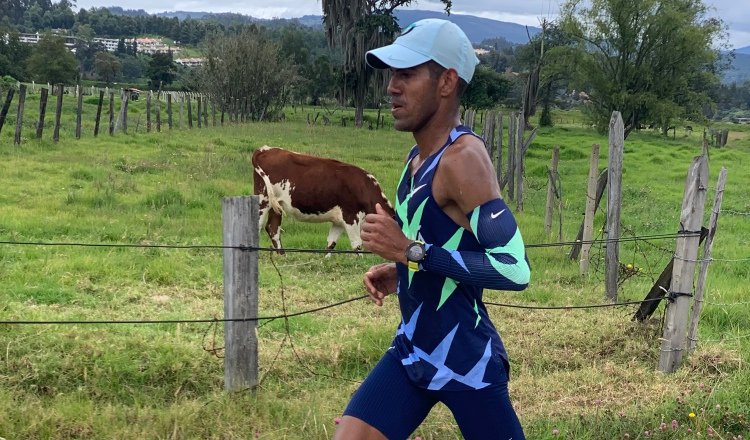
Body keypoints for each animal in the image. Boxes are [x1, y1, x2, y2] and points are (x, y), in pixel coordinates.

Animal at [251, 146, 396, 253]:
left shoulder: (338, 222)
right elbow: (357, 245)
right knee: (258, 225)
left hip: (276, 205)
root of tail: (265, 149)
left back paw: (282, 255)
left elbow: (330, 244)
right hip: (263, 201)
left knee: (273, 228)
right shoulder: (351, 217)